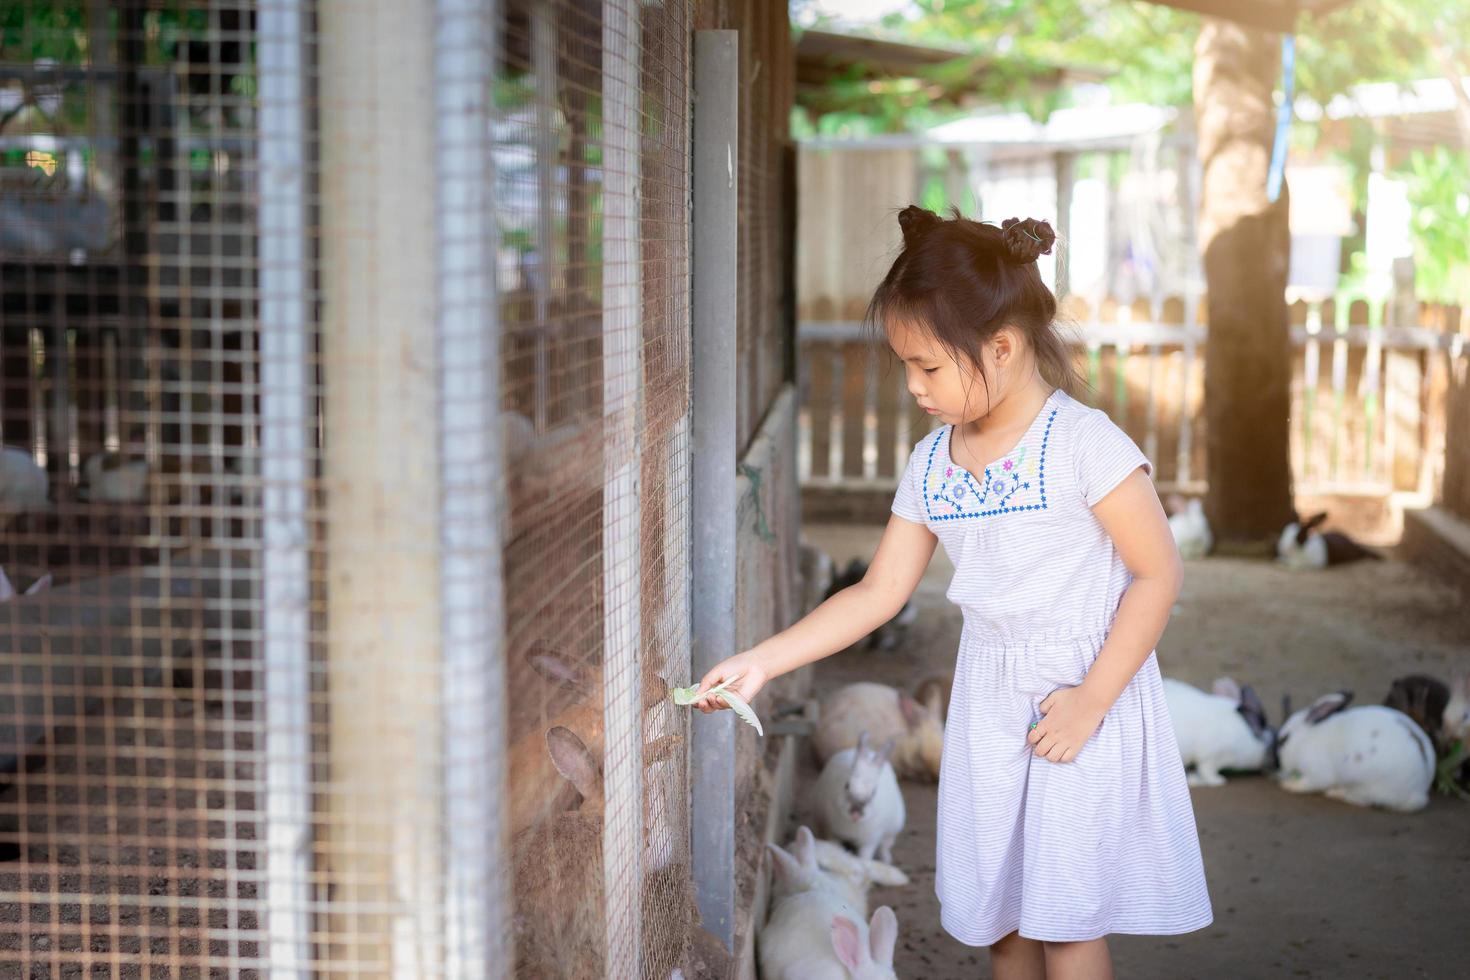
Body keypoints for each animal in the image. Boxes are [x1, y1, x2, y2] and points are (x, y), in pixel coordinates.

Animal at [817, 731, 905, 863]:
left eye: (874, 792)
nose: (855, 814)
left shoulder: (870, 841)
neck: (853, 826)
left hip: (892, 830)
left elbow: (865, 855)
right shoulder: (832, 832)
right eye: (847, 785)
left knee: (885, 846)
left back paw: (886, 859)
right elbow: (835, 845)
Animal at [1275, 690, 1434, 811]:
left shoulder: (1317, 773)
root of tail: (1419, 791)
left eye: (1284, 740)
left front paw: (1289, 785)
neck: (1304, 740)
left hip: (1366, 785)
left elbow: (1309, 784)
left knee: (1360, 800)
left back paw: (1335, 793)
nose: (1277, 764)